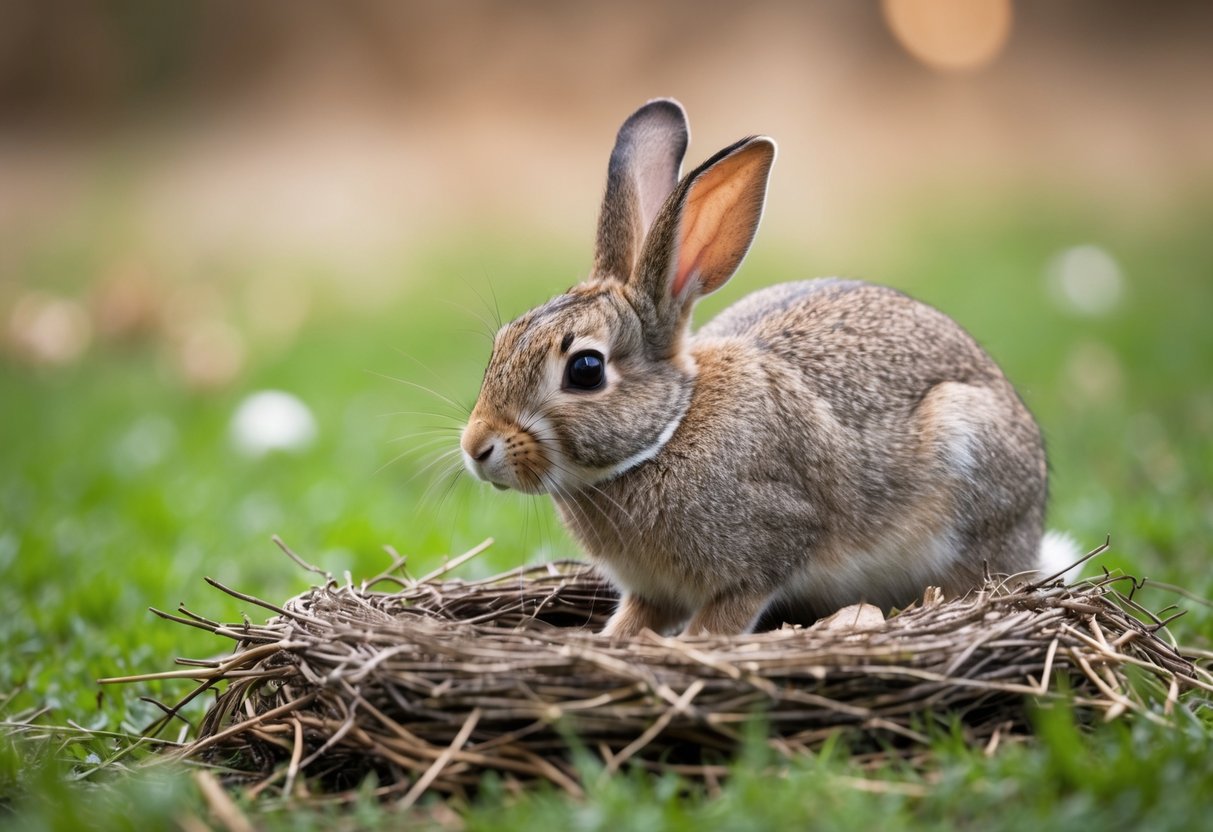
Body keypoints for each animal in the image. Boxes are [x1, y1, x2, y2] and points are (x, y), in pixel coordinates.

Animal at [460, 97, 1071, 637]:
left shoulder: (767, 548)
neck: (667, 430)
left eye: (585, 369)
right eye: (503, 341)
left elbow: (726, 614)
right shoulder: (651, 591)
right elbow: (636, 618)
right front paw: (614, 641)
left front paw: (696, 644)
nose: (476, 448)